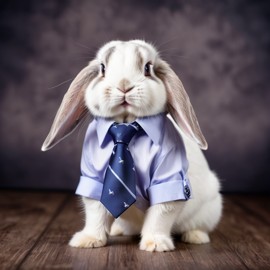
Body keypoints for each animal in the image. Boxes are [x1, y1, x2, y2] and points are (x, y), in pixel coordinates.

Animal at [42, 40, 223, 253]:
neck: (126, 125)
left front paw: (155, 245)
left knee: (199, 226)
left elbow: (162, 212)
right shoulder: (93, 178)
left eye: (147, 68)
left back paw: (195, 237)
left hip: (210, 208)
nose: (124, 85)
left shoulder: (170, 177)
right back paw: (117, 231)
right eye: (102, 68)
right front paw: (87, 240)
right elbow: (96, 211)